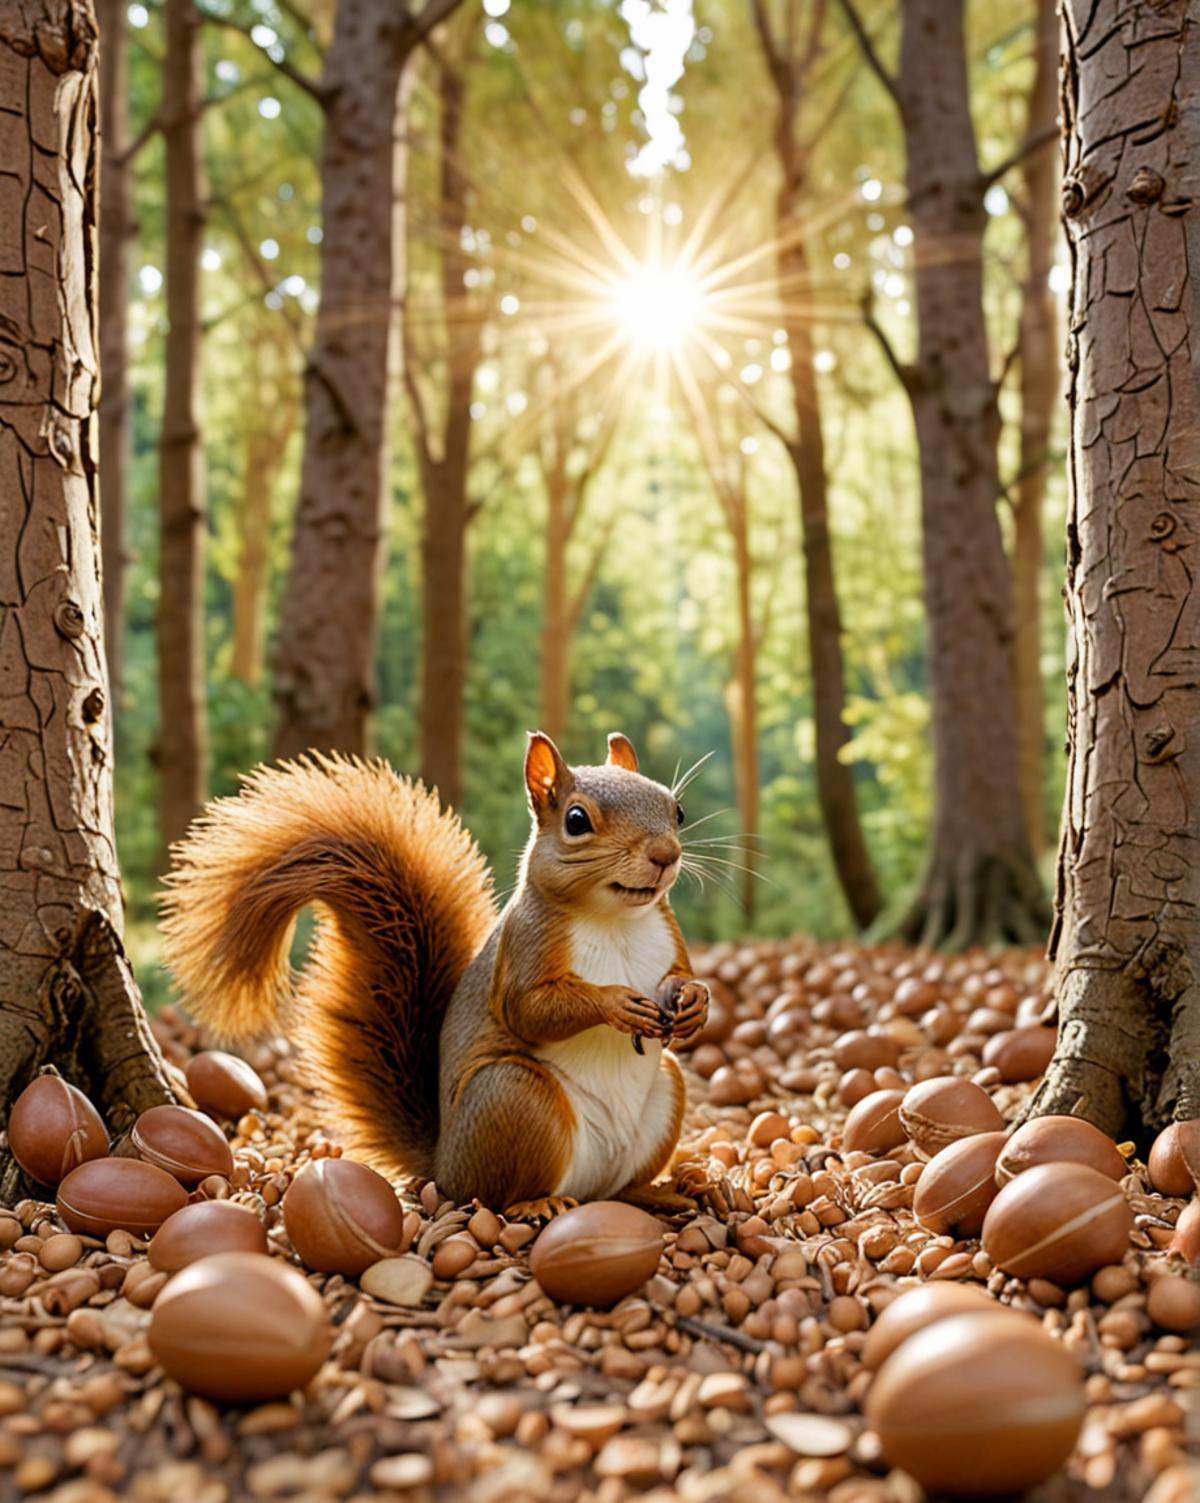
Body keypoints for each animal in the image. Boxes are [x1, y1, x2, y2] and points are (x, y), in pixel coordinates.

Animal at [159, 731, 710, 1214]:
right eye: (577, 820)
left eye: (676, 810)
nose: (666, 856)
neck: (615, 920)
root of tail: (444, 1162)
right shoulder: (525, 948)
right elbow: (530, 1010)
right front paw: (616, 1002)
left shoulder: (669, 936)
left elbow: (679, 975)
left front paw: (695, 1001)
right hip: (514, 1097)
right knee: (497, 1195)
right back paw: (538, 1202)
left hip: (664, 1093)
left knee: (619, 1185)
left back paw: (656, 1192)